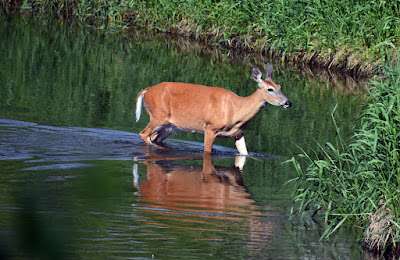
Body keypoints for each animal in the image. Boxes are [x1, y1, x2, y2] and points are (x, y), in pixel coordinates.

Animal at [134, 64, 290, 155]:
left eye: (280, 86)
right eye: (270, 89)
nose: (288, 102)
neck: (236, 110)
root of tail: (146, 90)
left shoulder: (238, 133)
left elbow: (245, 153)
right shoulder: (210, 127)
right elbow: (207, 152)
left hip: (168, 126)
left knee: (153, 137)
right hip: (158, 116)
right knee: (144, 134)